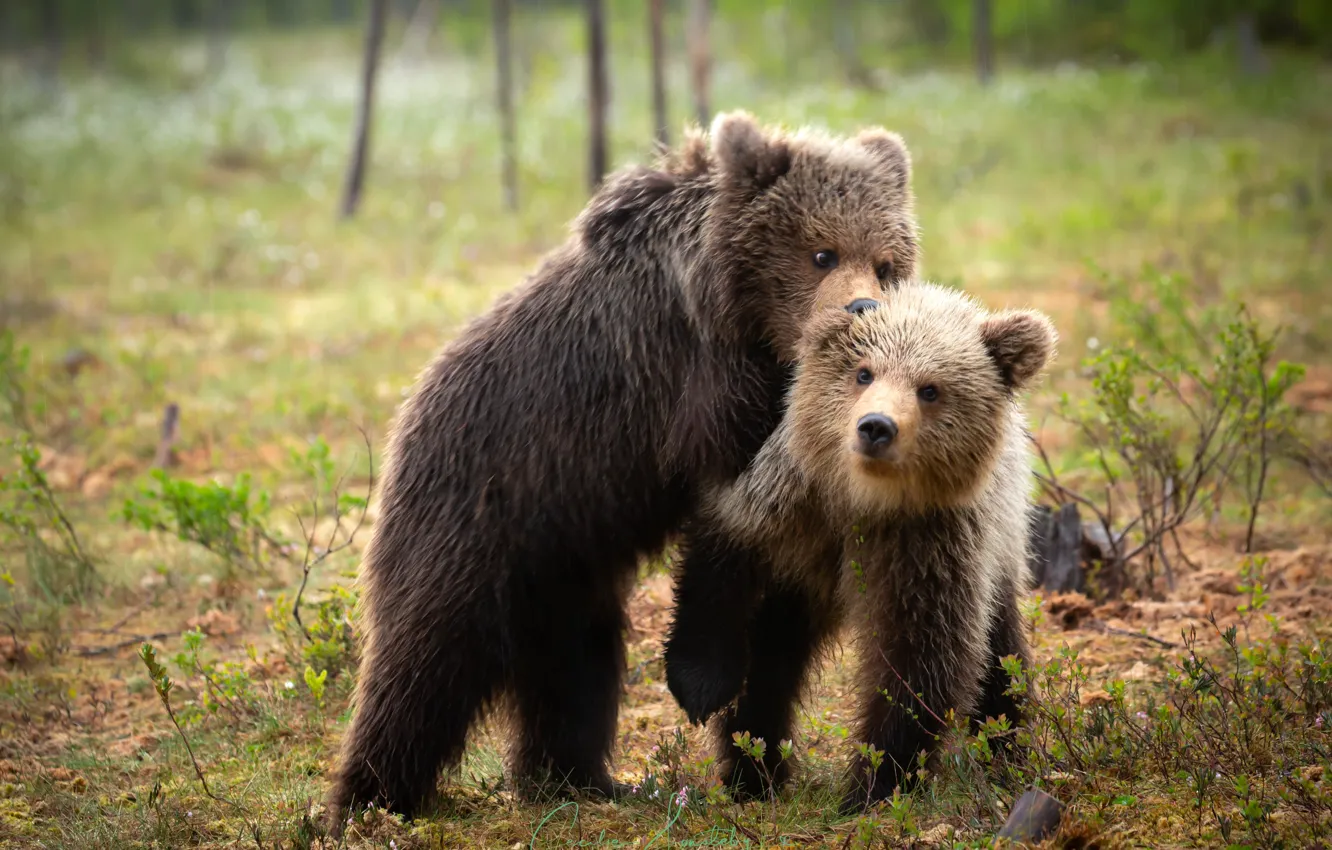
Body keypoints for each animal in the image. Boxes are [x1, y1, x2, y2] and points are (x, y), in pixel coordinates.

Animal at [325, 110, 921, 826]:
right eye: (822, 252)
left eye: (885, 263)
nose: (862, 308)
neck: (748, 326)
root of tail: (406, 414)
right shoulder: (696, 390)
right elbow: (725, 525)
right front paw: (701, 678)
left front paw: (752, 749)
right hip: (477, 508)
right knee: (426, 656)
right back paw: (370, 800)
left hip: (564, 560)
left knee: (577, 667)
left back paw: (575, 778)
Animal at [662, 280, 1057, 813]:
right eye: (863, 372)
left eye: (930, 389)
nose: (875, 426)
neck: (860, 500)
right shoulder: (784, 502)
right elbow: (719, 567)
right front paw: (701, 687)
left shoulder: (927, 547)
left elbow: (921, 662)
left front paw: (874, 785)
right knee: (772, 658)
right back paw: (754, 771)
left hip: (1001, 547)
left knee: (1000, 656)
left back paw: (1004, 755)